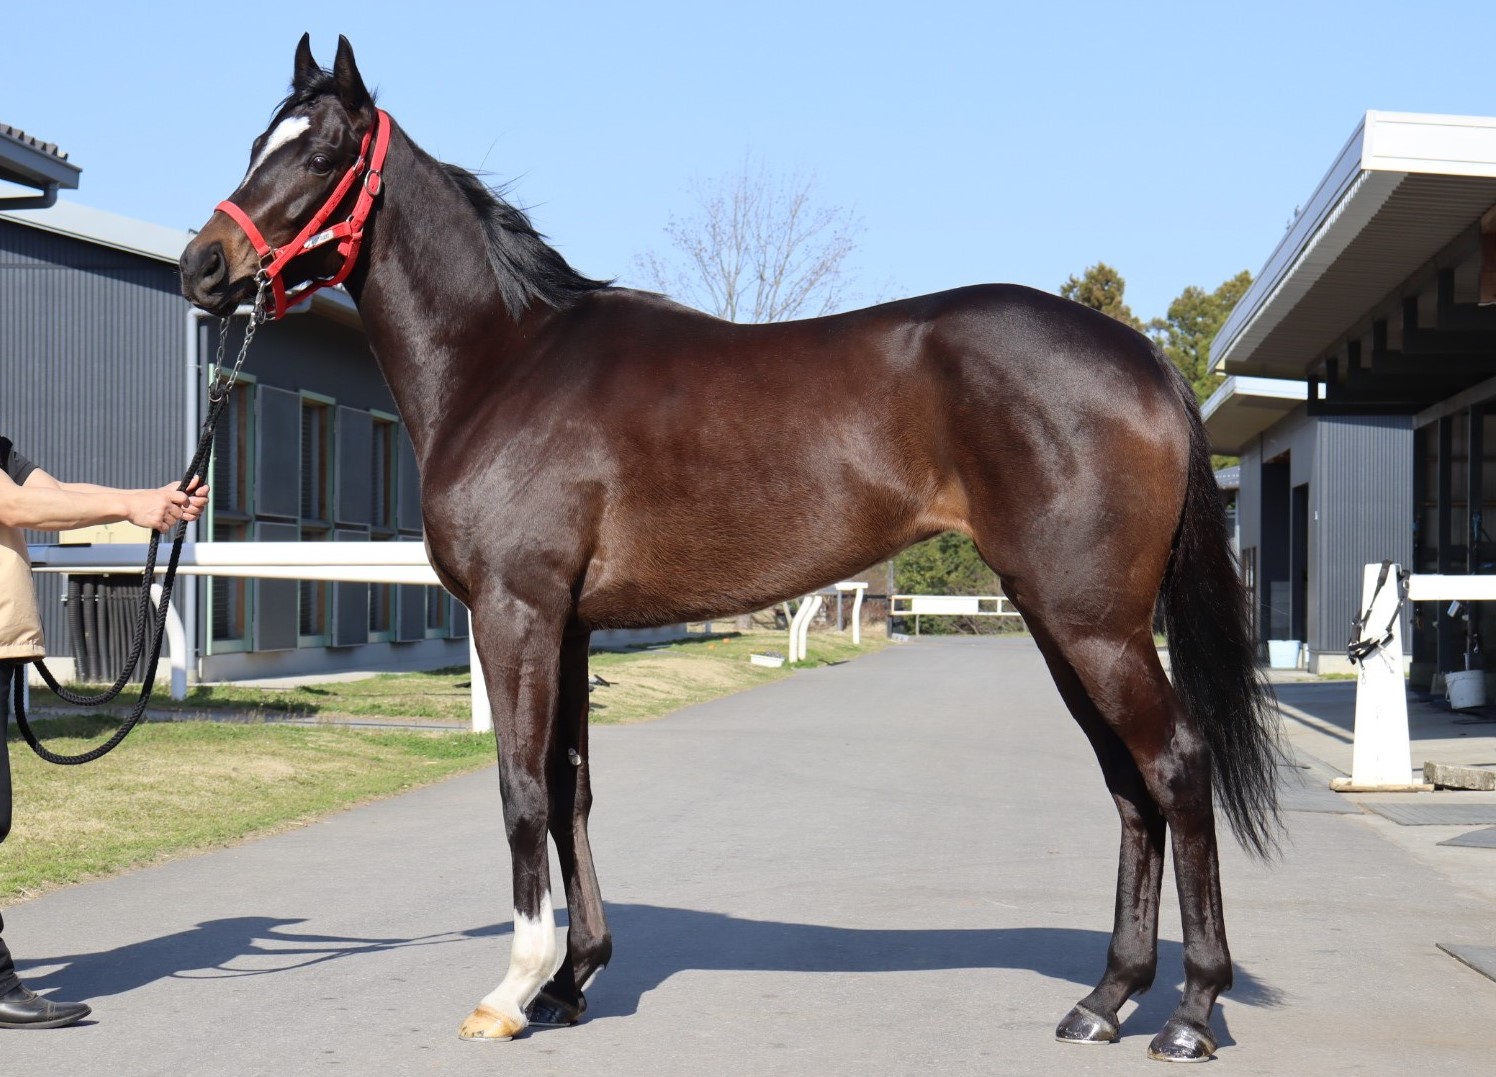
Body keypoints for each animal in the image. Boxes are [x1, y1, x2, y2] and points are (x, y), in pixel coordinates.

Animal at [181, 31, 1280, 1059]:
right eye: (255, 144)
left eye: (323, 151)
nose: (204, 267)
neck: (507, 362)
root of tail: (1141, 358)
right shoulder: (569, 626)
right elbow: (573, 788)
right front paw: (574, 979)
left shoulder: (514, 611)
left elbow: (521, 788)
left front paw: (512, 990)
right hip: (1064, 625)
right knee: (1128, 785)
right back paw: (1105, 1000)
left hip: (1092, 625)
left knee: (1174, 767)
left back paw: (1189, 1012)